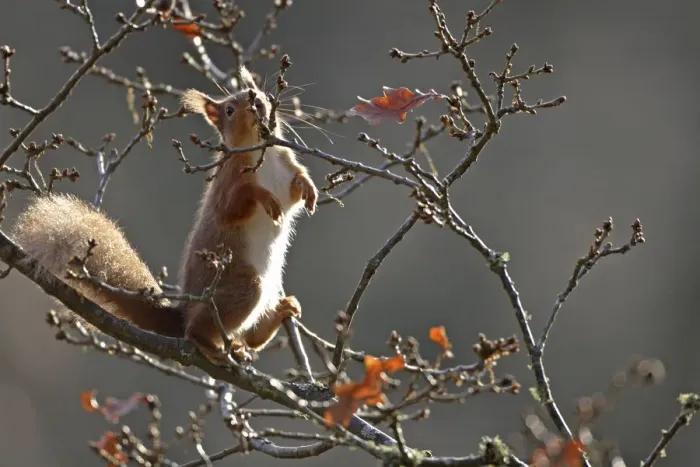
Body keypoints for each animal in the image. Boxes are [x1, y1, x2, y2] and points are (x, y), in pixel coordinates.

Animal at [10, 66, 318, 366]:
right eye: (230, 109)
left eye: (263, 96)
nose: (257, 102)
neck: (261, 151)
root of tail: (182, 314)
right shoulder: (228, 182)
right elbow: (234, 207)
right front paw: (265, 198)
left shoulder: (286, 166)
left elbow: (295, 187)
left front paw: (309, 188)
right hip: (240, 288)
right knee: (198, 328)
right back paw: (210, 344)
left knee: (252, 337)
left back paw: (279, 314)